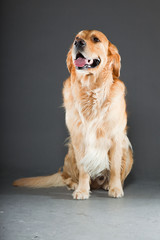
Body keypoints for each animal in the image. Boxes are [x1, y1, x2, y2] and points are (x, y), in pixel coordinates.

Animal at [13, 29, 133, 199]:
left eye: (96, 39)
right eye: (77, 38)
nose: (78, 43)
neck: (91, 89)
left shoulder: (116, 138)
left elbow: (115, 168)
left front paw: (115, 188)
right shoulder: (78, 138)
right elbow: (83, 170)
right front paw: (82, 190)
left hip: (127, 152)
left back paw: (107, 184)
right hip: (70, 154)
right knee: (65, 176)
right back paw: (74, 184)